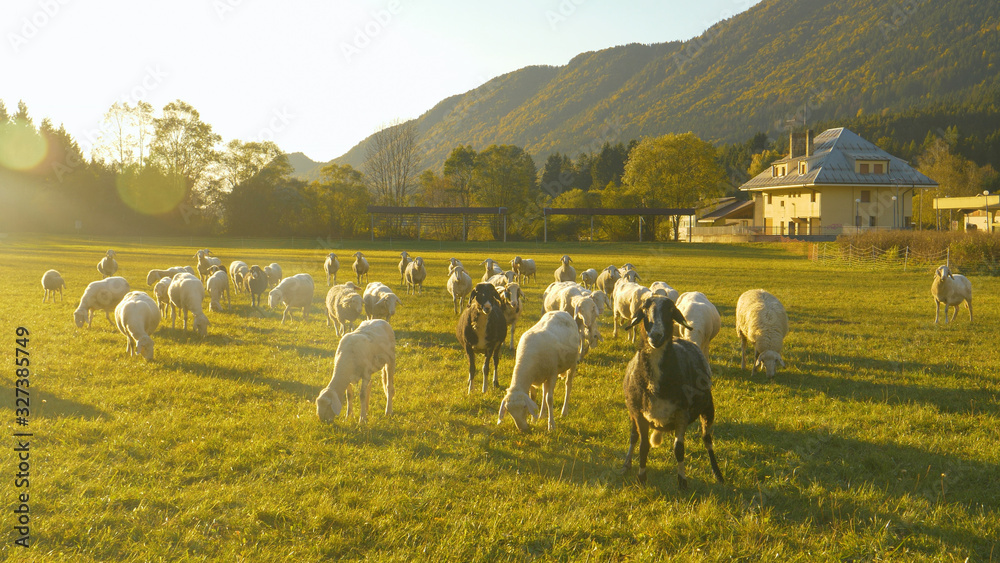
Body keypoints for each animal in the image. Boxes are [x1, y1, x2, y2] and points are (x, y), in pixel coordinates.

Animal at [620, 296, 724, 490]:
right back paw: (625, 465)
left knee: (707, 440)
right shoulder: (638, 413)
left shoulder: (682, 413)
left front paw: (682, 481)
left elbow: (679, 449)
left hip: (708, 408)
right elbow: (643, 446)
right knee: (633, 437)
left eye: (670, 310)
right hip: (632, 411)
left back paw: (718, 474)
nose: (656, 335)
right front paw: (641, 478)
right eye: (644, 309)